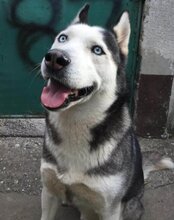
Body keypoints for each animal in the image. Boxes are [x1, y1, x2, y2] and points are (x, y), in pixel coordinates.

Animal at [39, 3, 174, 220]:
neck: (75, 124)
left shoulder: (108, 208)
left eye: (97, 50)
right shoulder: (49, 191)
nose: (55, 58)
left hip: (129, 206)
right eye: (63, 38)